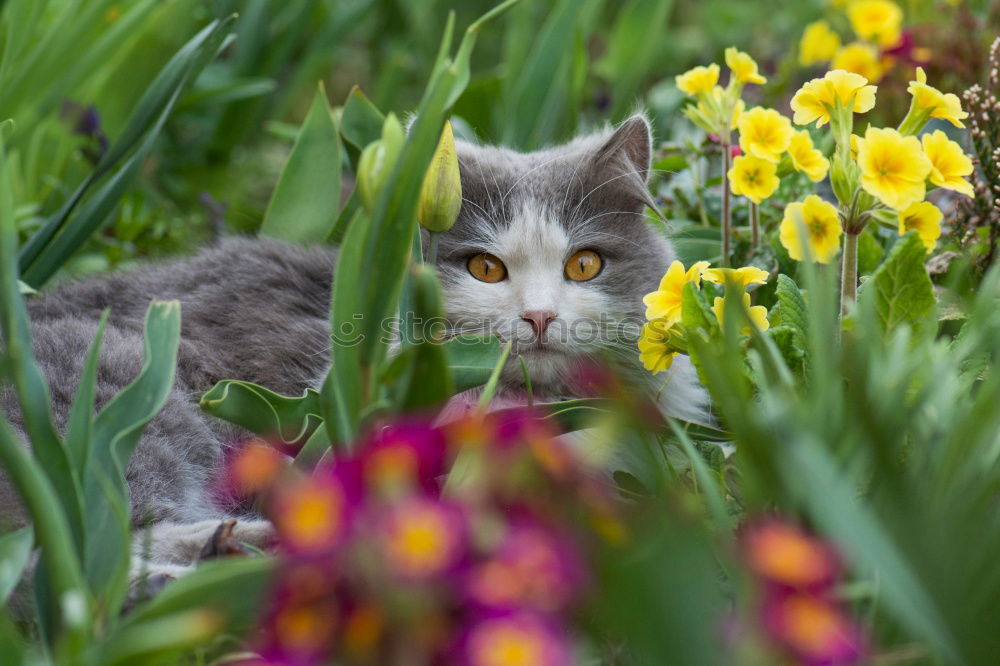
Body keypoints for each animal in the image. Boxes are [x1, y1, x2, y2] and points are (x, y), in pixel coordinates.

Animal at [0, 111, 708, 592]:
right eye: (485, 268)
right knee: (79, 559)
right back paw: (243, 548)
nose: (538, 316)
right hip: (132, 393)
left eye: (584, 264)